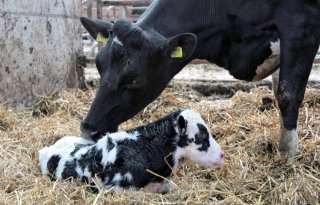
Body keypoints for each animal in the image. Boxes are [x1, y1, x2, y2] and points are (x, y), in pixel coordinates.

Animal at [80, 0, 320, 155]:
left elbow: (288, 94)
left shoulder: (301, 29)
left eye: (135, 79)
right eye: (99, 65)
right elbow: (278, 90)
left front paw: (288, 153)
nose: (89, 129)